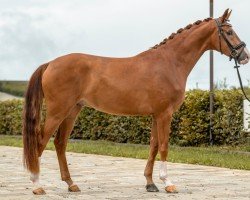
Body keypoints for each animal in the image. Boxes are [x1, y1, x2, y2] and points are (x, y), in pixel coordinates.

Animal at [23, 8, 248, 195]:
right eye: (229, 32)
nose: (244, 56)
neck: (170, 62)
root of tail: (50, 63)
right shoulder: (165, 114)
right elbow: (164, 146)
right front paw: (168, 183)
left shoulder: (156, 115)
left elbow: (154, 146)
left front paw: (150, 183)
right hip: (57, 111)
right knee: (40, 142)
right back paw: (37, 185)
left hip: (72, 111)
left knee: (60, 143)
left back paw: (71, 184)